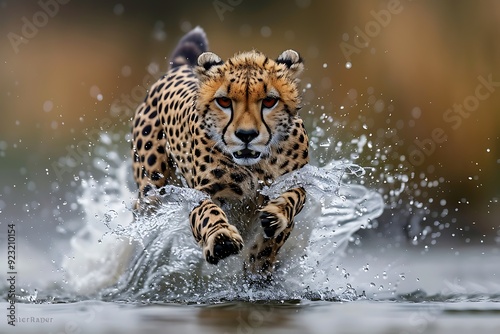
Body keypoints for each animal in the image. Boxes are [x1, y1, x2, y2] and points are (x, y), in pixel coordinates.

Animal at [131, 26, 308, 278]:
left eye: (269, 101)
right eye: (224, 101)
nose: (246, 135)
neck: (255, 166)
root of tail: (179, 69)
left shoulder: (297, 180)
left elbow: (292, 198)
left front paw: (273, 223)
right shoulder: (204, 192)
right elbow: (208, 212)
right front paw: (222, 238)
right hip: (152, 188)